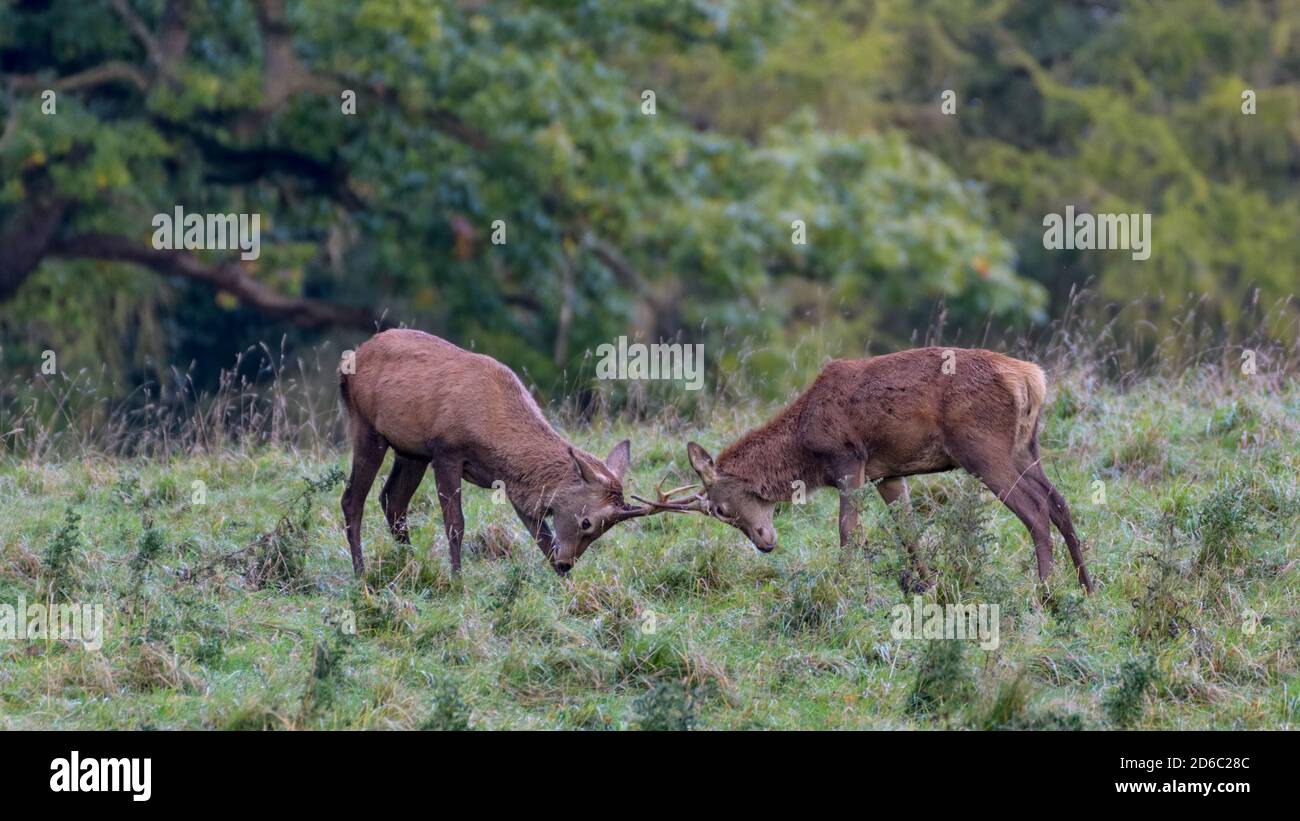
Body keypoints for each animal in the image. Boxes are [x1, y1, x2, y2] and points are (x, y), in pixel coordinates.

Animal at [338, 329, 662, 576]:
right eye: (587, 522)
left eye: (604, 530)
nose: (567, 564)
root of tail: (346, 366)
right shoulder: (446, 449)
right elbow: (455, 524)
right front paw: (457, 580)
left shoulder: (513, 483)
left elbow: (543, 539)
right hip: (367, 427)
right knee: (352, 500)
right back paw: (361, 573)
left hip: (411, 451)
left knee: (392, 501)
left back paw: (410, 563)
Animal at [639, 347, 1096, 594]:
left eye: (720, 509)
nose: (765, 543)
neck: (804, 446)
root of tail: (1032, 379)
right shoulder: (888, 473)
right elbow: (908, 532)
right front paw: (930, 586)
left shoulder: (849, 458)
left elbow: (848, 530)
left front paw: (843, 584)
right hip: (1025, 446)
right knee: (1060, 502)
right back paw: (1087, 587)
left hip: (983, 448)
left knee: (1036, 510)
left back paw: (1045, 591)